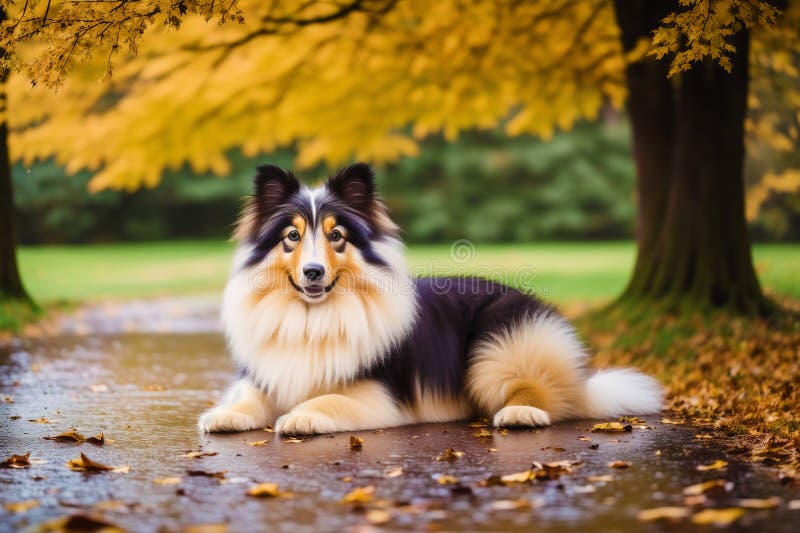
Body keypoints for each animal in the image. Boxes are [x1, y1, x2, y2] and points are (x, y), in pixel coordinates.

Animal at [200, 164, 664, 434]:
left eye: (338, 236)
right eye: (292, 236)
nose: (313, 272)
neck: (313, 316)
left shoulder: (380, 397)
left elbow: (327, 397)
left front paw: (300, 415)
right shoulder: (267, 376)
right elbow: (247, 397)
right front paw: (224, 415)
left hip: (500, 347)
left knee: (551, 395)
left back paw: (522, 413)